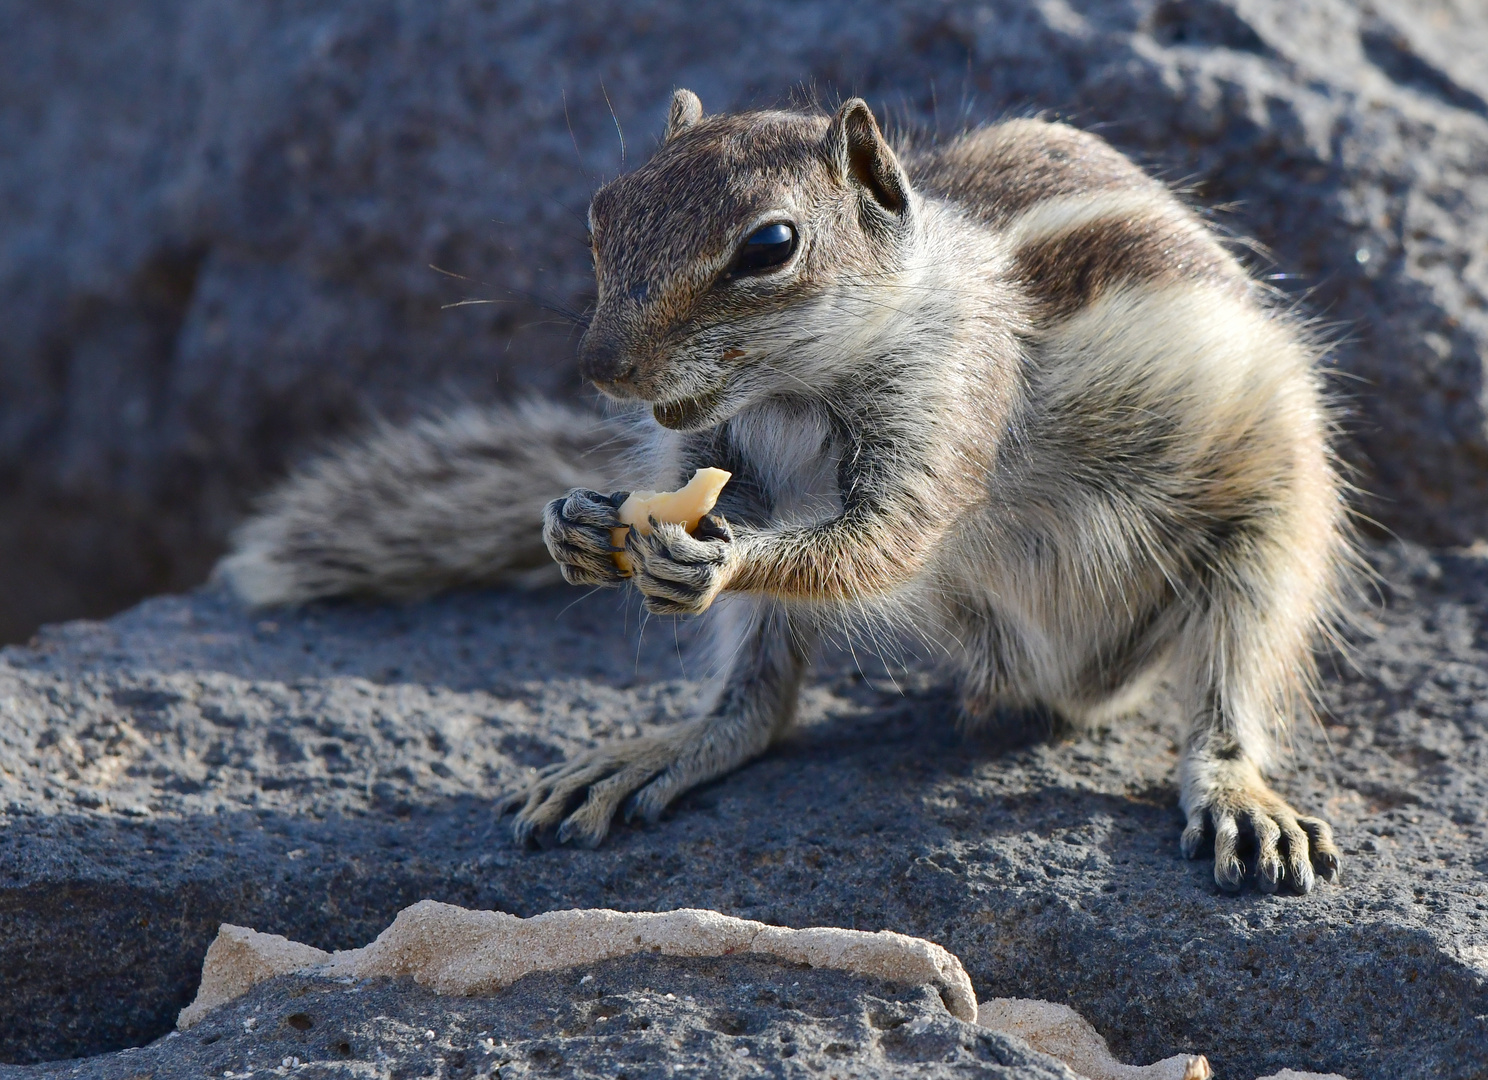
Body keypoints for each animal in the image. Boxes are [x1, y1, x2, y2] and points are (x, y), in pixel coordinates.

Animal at [215, 88, 1357, 892]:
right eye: (600, 215)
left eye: (769, 247)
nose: (602, 369)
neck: (798, 388)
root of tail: (1070, 684)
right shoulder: (703, 446)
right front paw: (573, 526)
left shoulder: (952, 402)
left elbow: (884, 539)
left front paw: (720, 558)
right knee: (757, 704)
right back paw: (665, 747)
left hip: (1272, 530)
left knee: (1237, 677)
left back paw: (1239, 792)